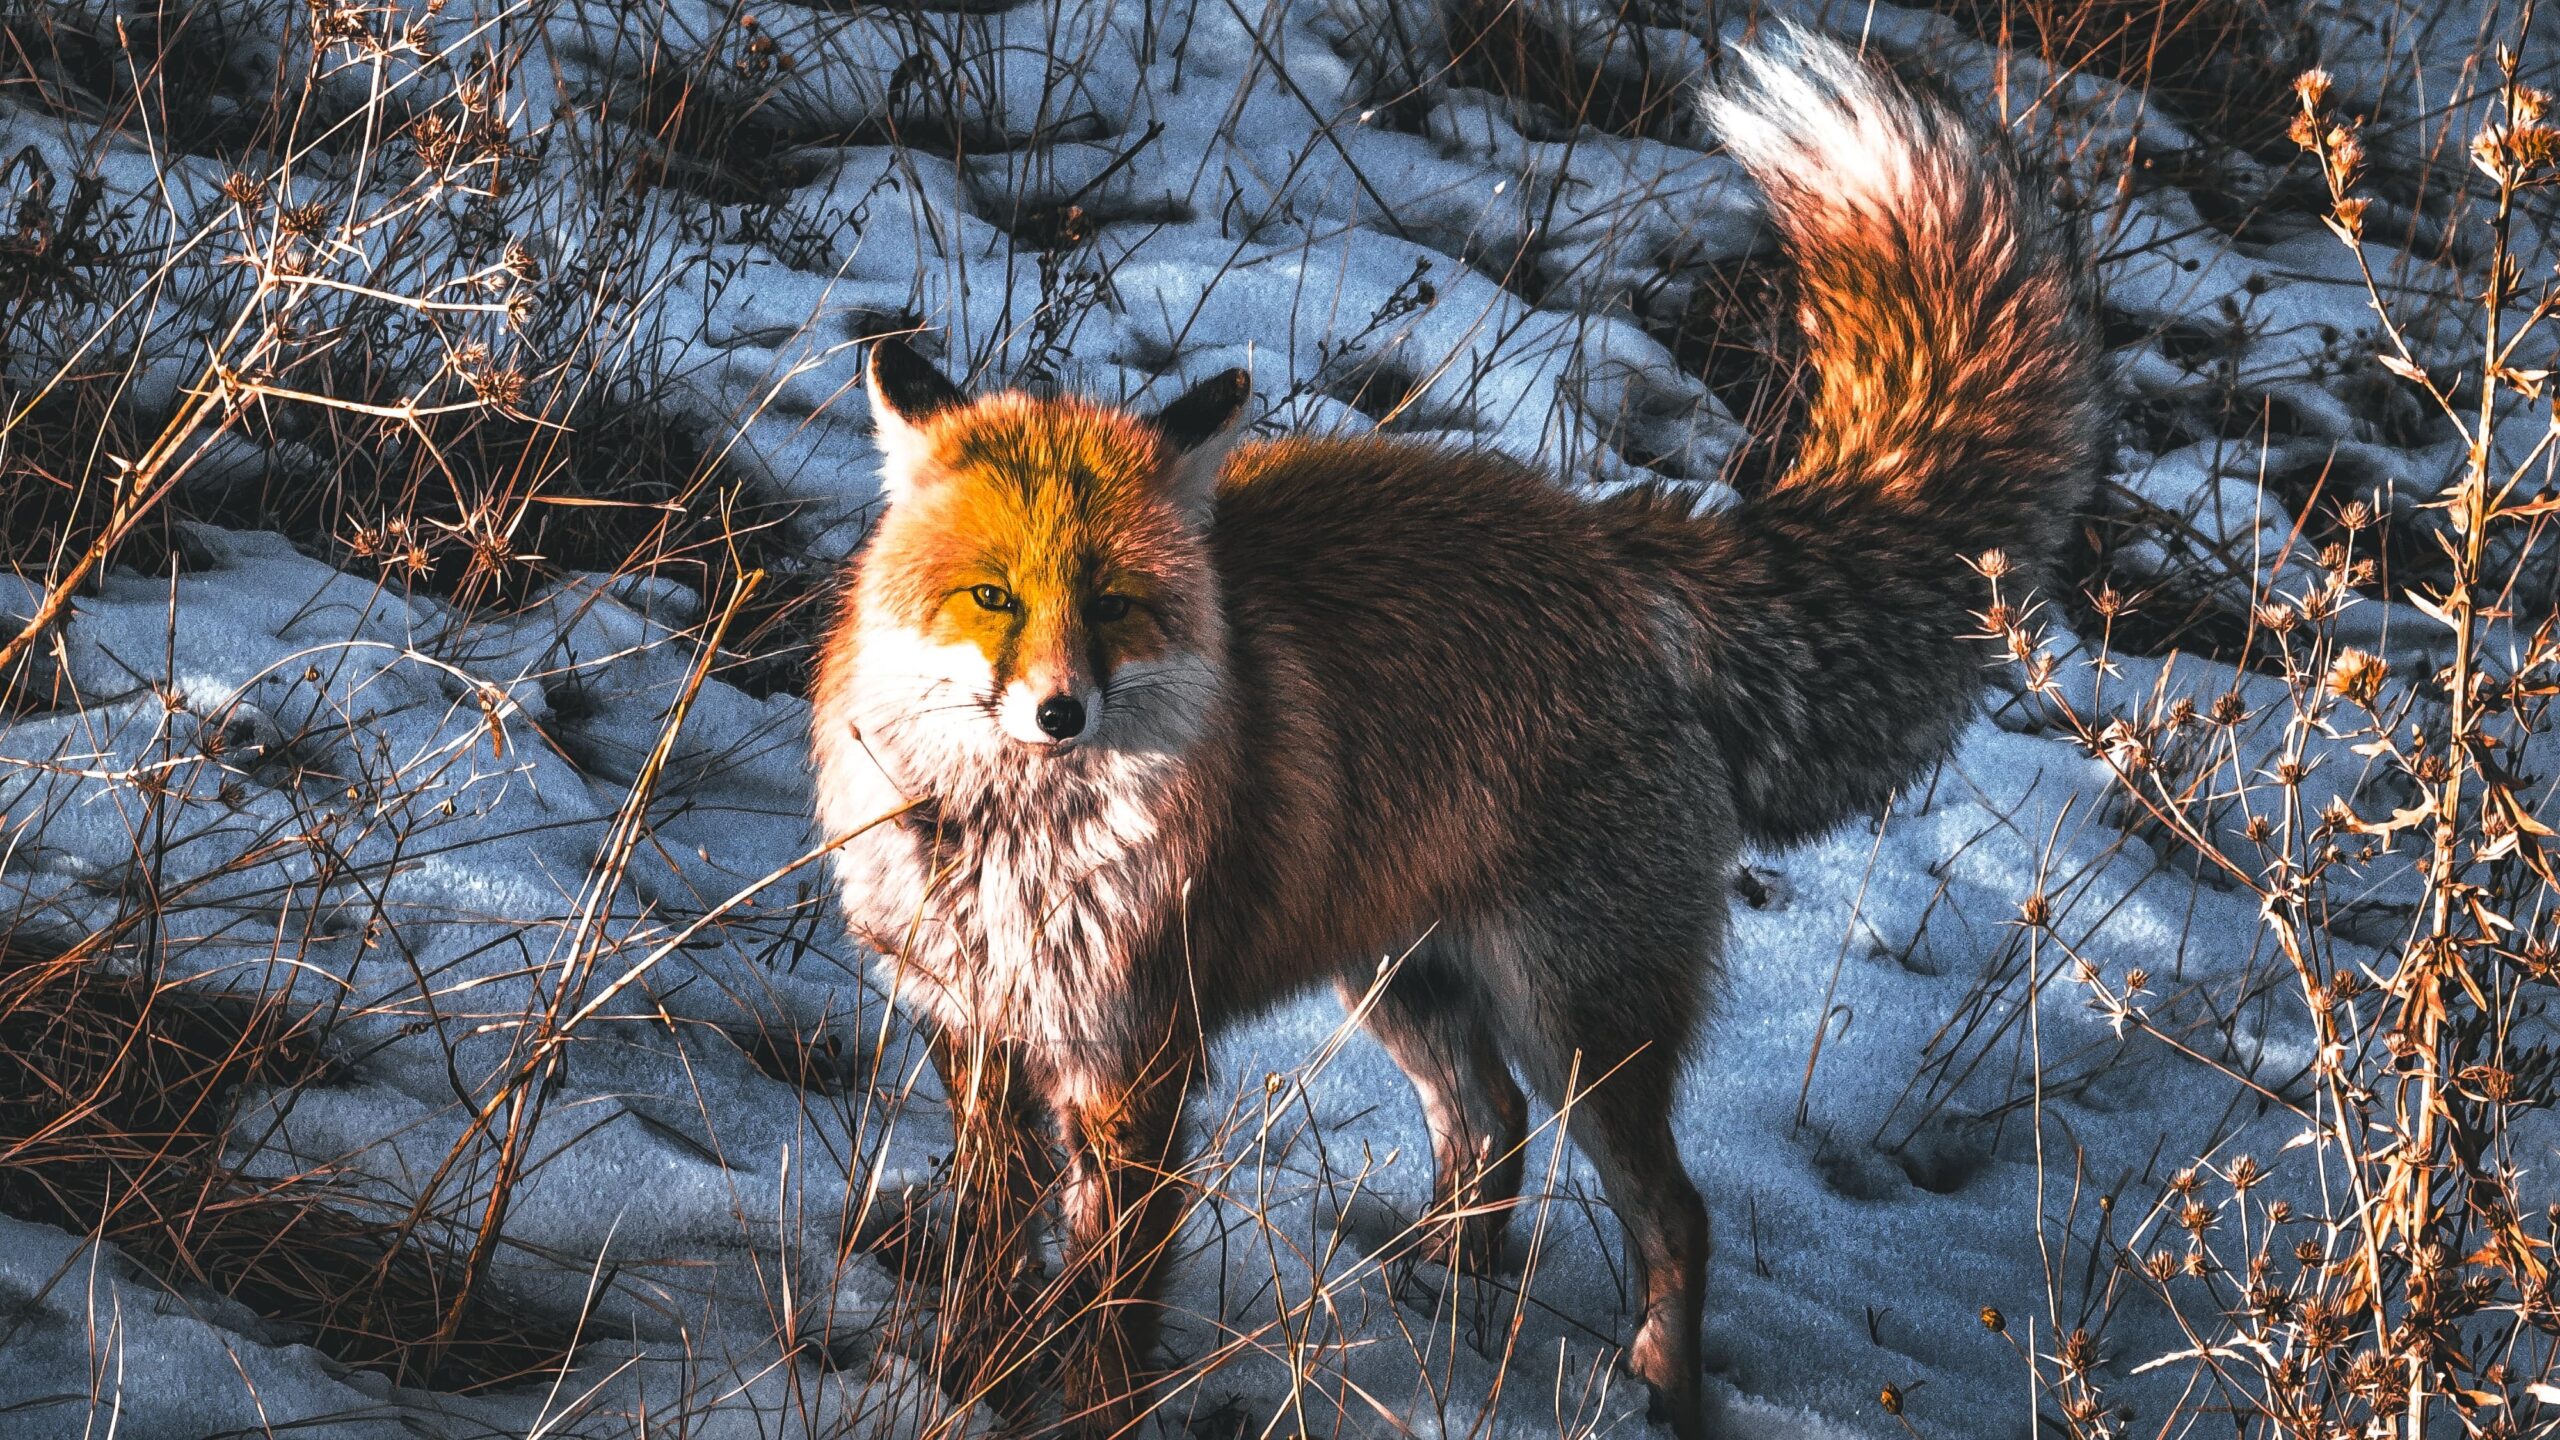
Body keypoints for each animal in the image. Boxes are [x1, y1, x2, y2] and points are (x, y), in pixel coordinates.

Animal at [814, 25, 2099, 1434]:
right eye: (993, 597)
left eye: (1113, 605)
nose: (1059, 712)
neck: (1016, 862)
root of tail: (1615, 540)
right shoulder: (975, 1040)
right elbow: (990, 1253)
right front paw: (961, 1382)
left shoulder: (1140, 1064)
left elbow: (1111, 1308)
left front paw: (1082, 1405)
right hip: (1403, 981)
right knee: (1489, 1131)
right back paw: (1438, 1302)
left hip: (1574, 1020)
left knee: (1671, 1212)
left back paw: (1650, 1387)